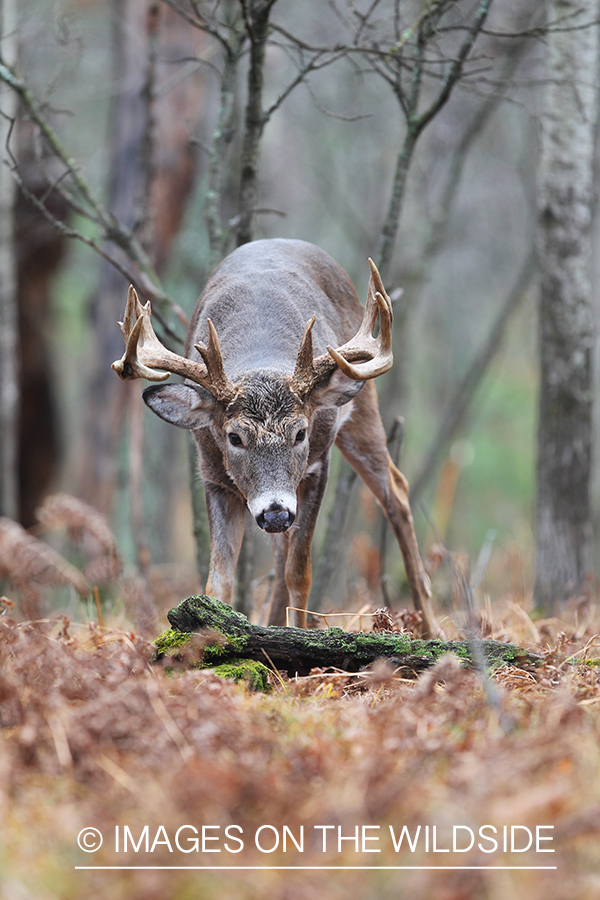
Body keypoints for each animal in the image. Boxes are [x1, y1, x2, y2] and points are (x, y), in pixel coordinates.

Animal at [110, 239, 436, 632]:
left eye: (301, 433)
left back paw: (431, 625)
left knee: (396, 491)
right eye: (234, 437)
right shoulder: (212, 475)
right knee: (281, 552)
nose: (275, 513)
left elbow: (300, 571)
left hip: (362, 409)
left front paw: (303, 637)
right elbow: (218, 579)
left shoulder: (317, 465)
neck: (260, 355)